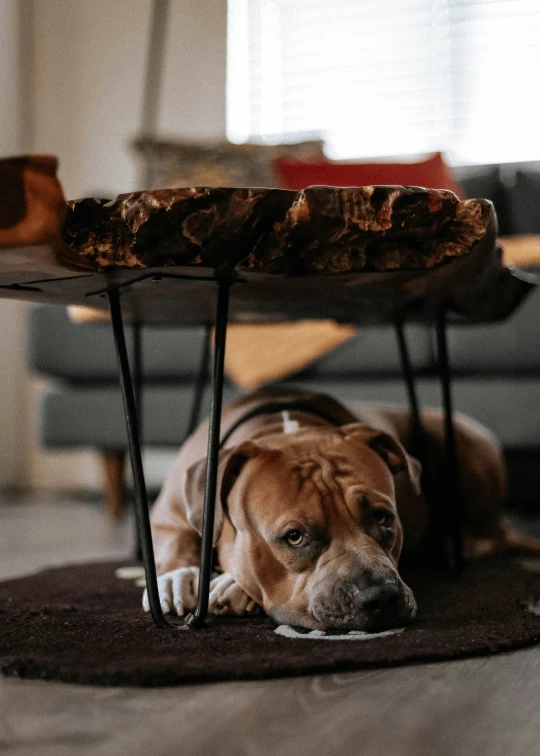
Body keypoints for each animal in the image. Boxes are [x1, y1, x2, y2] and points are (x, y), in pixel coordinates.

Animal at [142, 386, 540, 628]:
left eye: (383, 518)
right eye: (294, 537)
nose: (381, 597)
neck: (284, 429)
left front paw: (231, 585)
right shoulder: (168, 514)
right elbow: (175, 539)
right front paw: (177, 578)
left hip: (460, 438)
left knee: (491, 532)